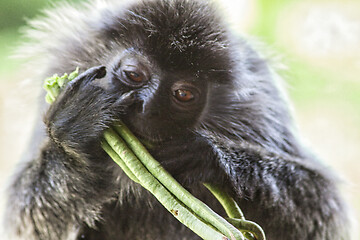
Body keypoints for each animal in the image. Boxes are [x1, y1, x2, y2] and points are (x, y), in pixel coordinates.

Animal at [4, 0, 350, 239]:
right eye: (133, 75)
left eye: (183, 94)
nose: (150, 109)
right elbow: (26, 220)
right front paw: (76, 136)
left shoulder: (262, 106)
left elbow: (323, 205)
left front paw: (206, 156)